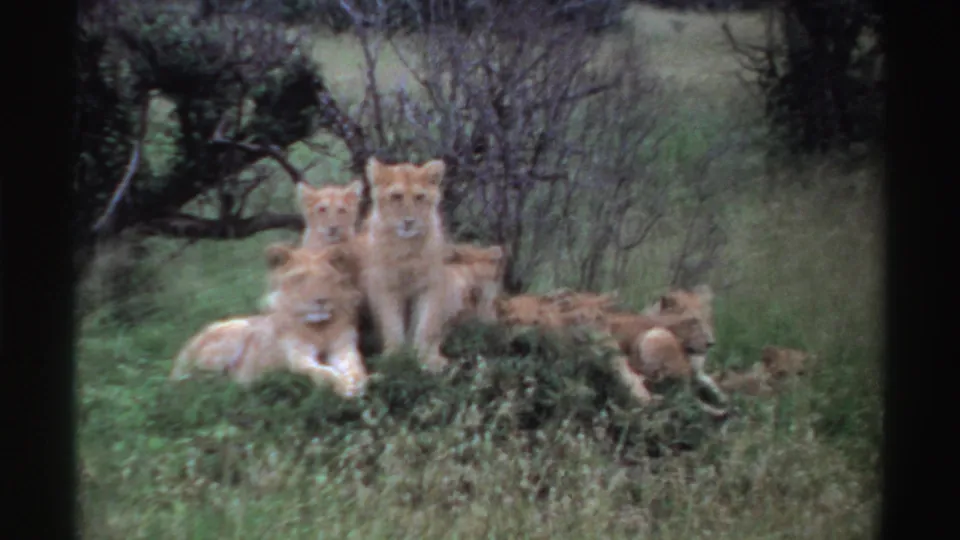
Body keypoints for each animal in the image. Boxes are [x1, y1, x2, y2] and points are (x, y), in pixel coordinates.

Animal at [169, 243, 369, 397]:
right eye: (299, 278)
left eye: (327, 277)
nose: (321, 300)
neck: (318, 328)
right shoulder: (297, 357)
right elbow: (322, 372)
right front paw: (344, 386)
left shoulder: (343, 347)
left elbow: (355, 366)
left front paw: (358, 382)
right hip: (234, 335)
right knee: (196, 382)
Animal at [359, 157, 452, 372]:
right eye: (396, 196)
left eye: (419, 197)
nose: (409, 222)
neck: (406, 247)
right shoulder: (384, 286)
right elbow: (392, 325)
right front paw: (394, 359)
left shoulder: (431, 285)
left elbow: (426, 324)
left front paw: (426, 359)